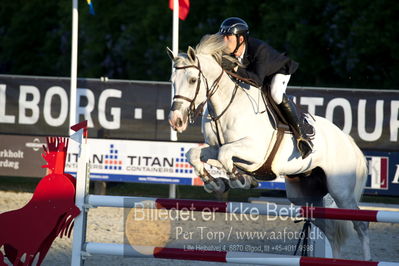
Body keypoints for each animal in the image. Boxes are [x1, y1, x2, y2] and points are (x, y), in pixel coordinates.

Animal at [167, 34, 370, 260]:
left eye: (193, 80)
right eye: (172, 82)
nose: (176, 121)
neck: (225, 105)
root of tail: (348, 140)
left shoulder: (254, 152)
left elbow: (225, 154)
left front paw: (240, 179)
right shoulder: (215, 147)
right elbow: (195, 154)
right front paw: (215, 183)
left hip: (341, 190)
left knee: (360, 225)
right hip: (306, 195)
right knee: (332, 231)